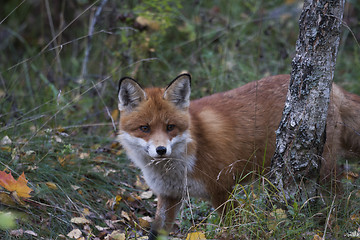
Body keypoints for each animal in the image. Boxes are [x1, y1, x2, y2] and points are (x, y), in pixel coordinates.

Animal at [118, 74, 360, 239]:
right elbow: (156, 231)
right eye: (145, 128)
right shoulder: (169, 196)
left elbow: (229, 229)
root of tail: (334, 88)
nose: (161, 150)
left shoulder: (222, 190)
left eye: (170, 127)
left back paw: (335, 224)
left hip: (324, 169)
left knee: (339, 197)